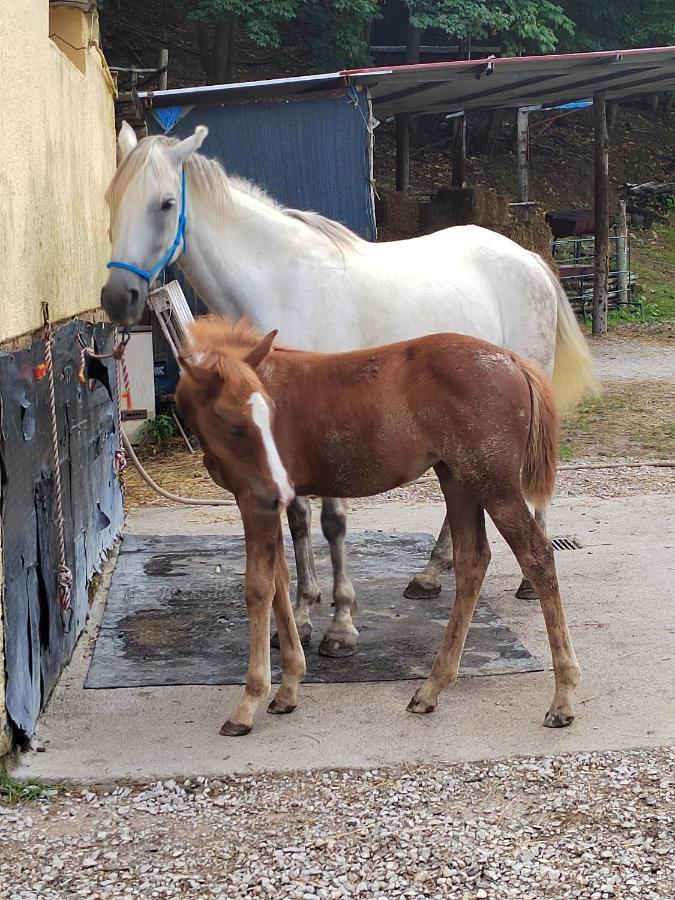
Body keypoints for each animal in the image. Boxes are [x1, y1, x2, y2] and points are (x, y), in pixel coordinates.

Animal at [100, 123, 596, 656]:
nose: (118, 298)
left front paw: (340, 625)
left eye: (166, 203)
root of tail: (528, 257)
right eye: (112, 200)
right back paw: (430, 573)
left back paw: (523, 581)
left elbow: (332, 522)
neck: (282, 285)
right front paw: (300, 618)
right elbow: (297, 519)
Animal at [176, 320, 580, 736]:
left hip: (493, 483)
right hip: (457, 477)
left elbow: (258, 587)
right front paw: (287, 690)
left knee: (537, 555)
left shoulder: (255, 500)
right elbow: (278, 582)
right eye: (234, 424)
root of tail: (514, 361)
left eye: (269, 414)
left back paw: (562, 698)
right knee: (472, 561)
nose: (280, 486)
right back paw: (431, 688)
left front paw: (249, 703)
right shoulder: (265, 501)